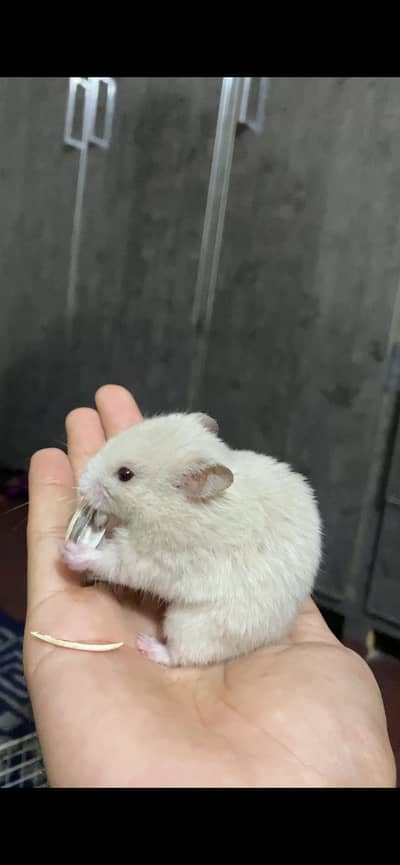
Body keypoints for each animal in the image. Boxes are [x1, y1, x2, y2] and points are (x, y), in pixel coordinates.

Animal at [60, 413, 322, 667]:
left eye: (125, 475)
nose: (82, 485)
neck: (167, 505)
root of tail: (277, 633)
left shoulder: (155, 556)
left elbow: (114, 561)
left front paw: (70, 551)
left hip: (194, 625)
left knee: (182, 656)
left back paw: (148, 646)